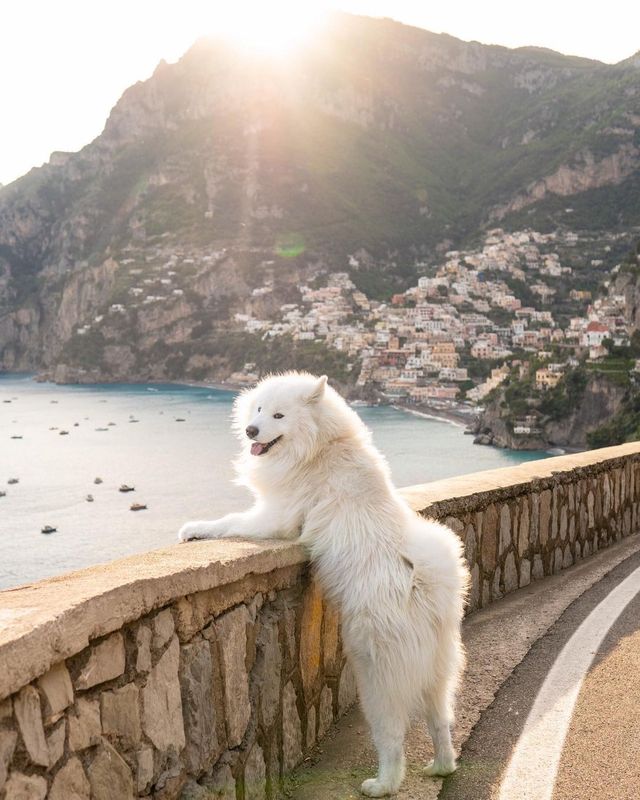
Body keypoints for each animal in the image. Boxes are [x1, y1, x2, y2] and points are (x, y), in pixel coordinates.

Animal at [180, 372, 470, 796]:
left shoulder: (275, 517)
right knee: (440, 720)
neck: (320, 447)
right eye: (259, 409)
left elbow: (229, 521)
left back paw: (383, 784)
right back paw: (441, 767)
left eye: (279, 415)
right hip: (438, 667)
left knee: (392, 735)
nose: (251, 430)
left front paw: (193, 528)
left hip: (376, 674)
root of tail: (424, 586)